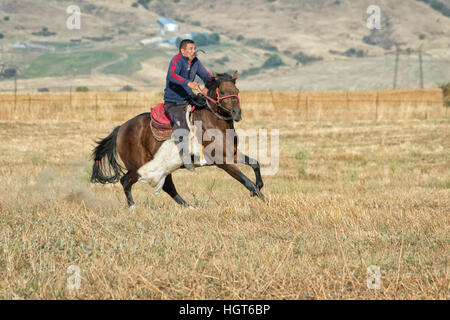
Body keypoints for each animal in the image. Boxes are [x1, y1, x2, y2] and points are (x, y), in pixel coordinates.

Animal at [90, 72, 264, 208]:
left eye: (237, 91)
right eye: (222, 91)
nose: (236, 113)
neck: (214, 123)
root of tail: (121, 128)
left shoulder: (232, 154)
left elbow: (255, 163)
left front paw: (261, 190)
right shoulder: (223, 161)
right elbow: (246, 181)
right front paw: (261, 197)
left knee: (168, 186)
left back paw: (189, 207)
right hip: (137, 166)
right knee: (126, 181)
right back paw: (133, 207)